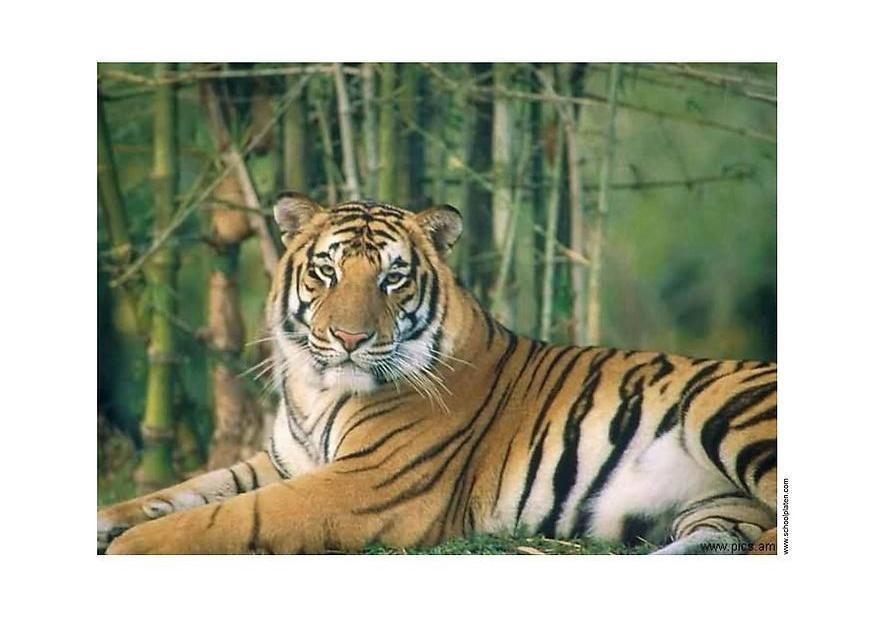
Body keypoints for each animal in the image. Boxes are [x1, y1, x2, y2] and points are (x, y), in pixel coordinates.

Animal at [98, 192, 777, 555]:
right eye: (326, 271)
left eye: (392, 277)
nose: (349, 339)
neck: (315, 390)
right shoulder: (281, 462)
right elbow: (189, 490)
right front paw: (112, 519)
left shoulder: (368, 483)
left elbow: (232, 516)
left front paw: (131, 545)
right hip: (715, 513)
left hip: (731, 417)